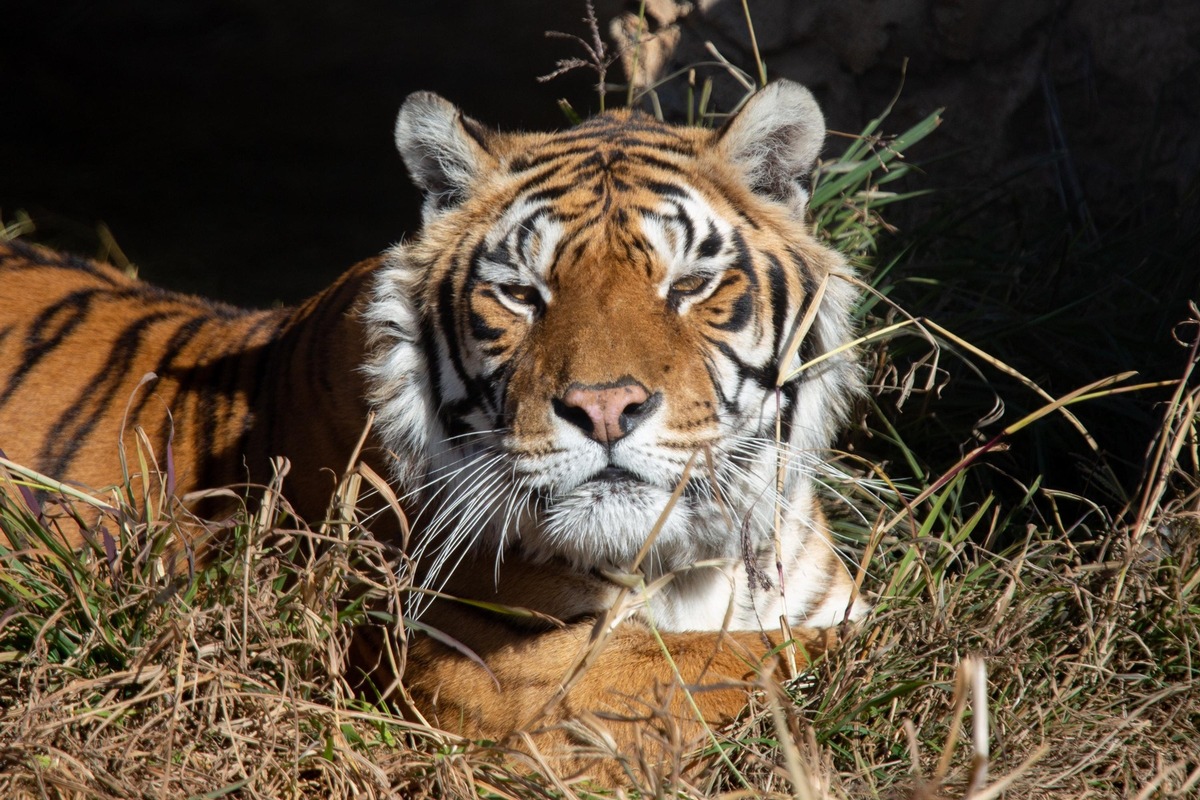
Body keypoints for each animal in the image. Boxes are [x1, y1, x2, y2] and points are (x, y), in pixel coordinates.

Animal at [0, 81, 864, 782]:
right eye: (521, 294)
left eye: (690, 284)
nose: (605, 408)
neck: (692, 567)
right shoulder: (507, 679)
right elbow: (758, 657)